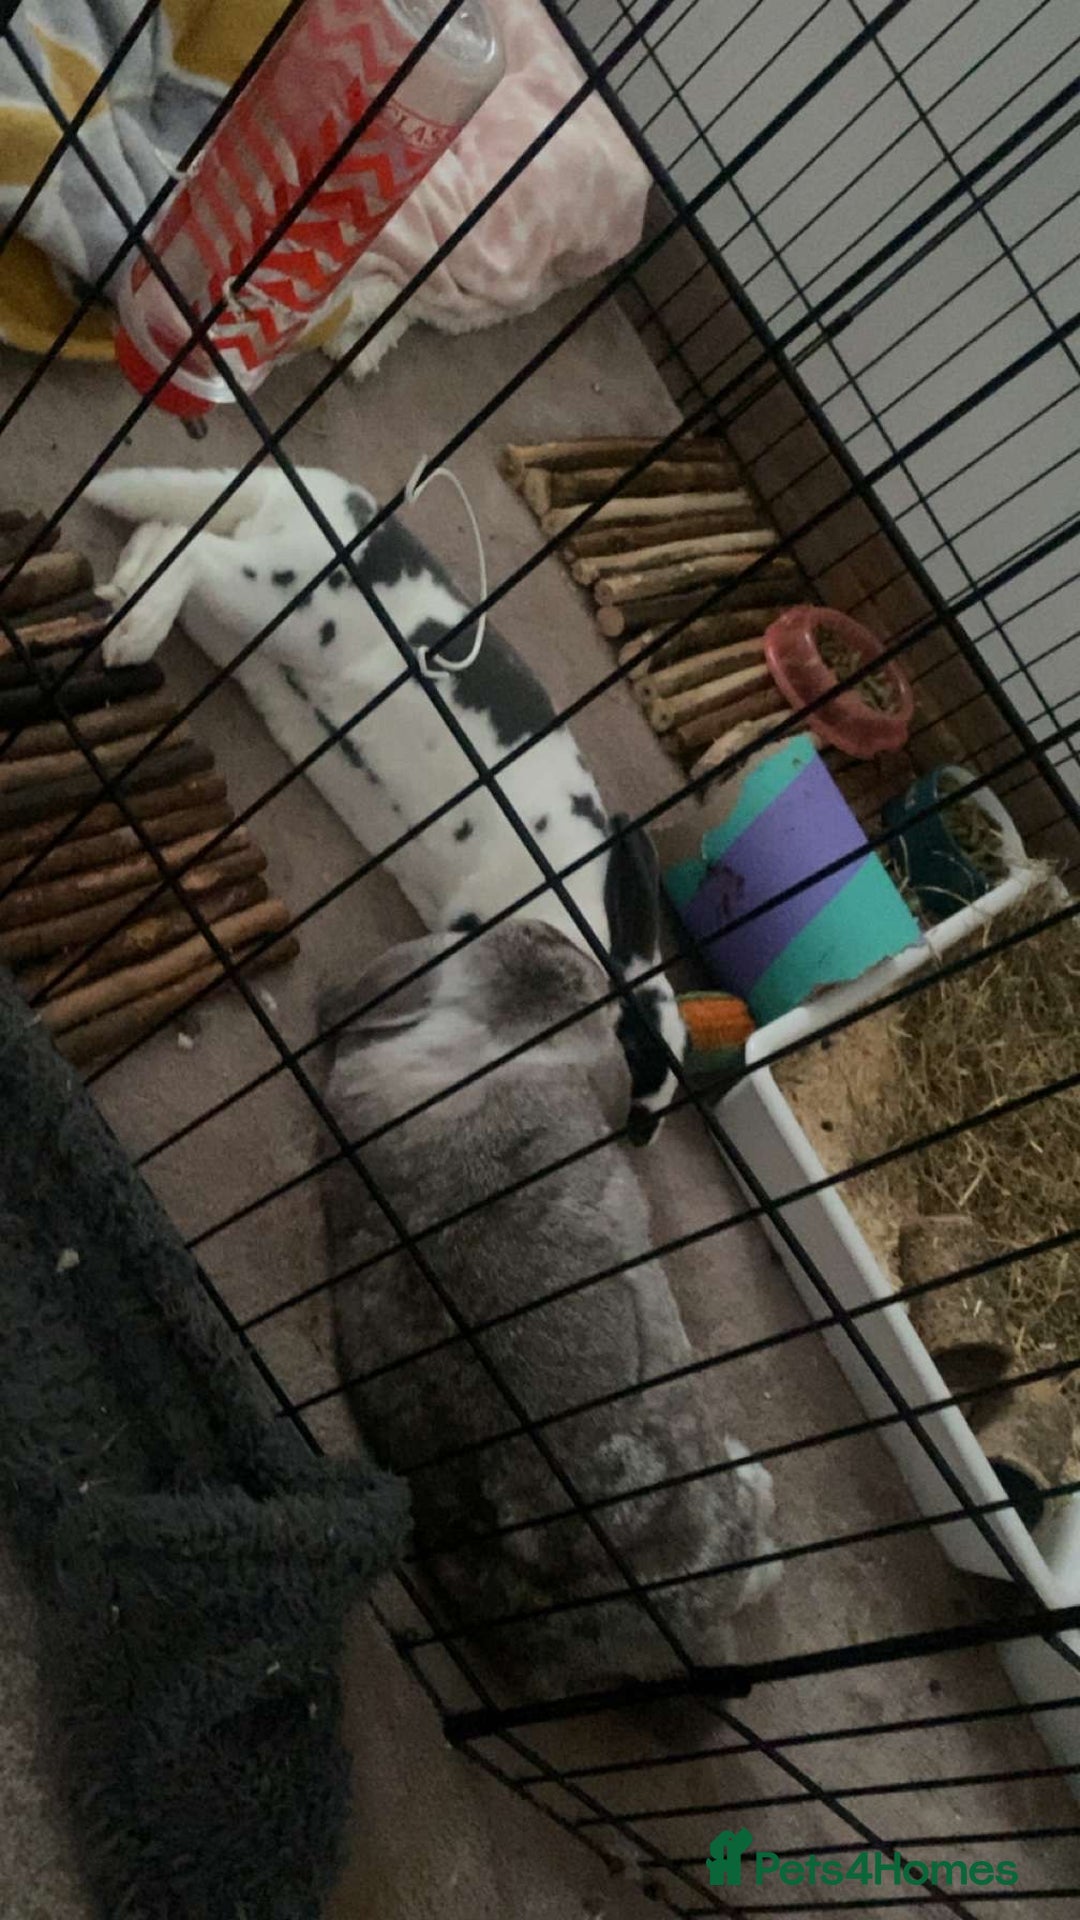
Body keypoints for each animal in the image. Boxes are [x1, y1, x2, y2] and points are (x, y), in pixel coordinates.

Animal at [87, 463, 686, 1143]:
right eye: (636, 1048)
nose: (642, 1132)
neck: (591, 937)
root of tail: (312, 490)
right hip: (288, 606)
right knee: (194, 549)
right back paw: (134, 636)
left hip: (243, 631)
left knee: (166, 533)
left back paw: (124, 593)